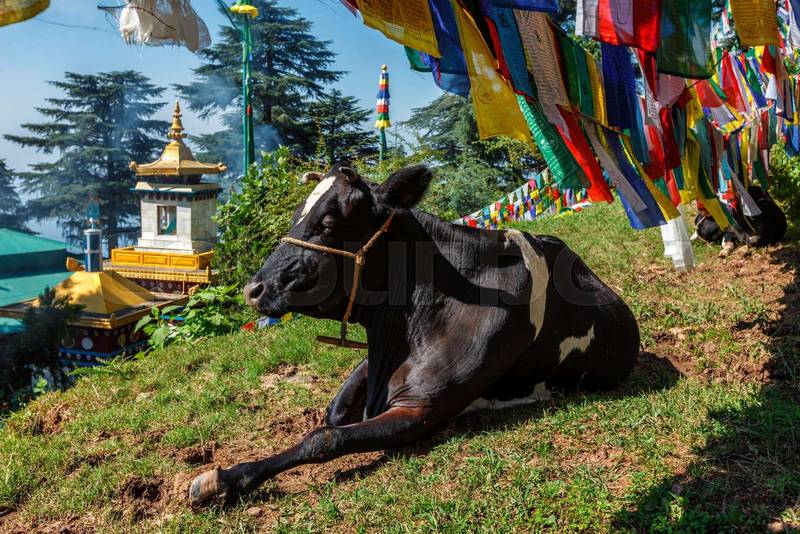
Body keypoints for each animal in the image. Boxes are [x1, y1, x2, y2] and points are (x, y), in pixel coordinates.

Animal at [189, 164, 640, 504]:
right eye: (298, 214)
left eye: (328, 222)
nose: (253, 289)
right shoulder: (371, 362)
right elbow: (334, 414)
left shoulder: (420, 409)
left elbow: (323, 438)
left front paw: (224, 479)